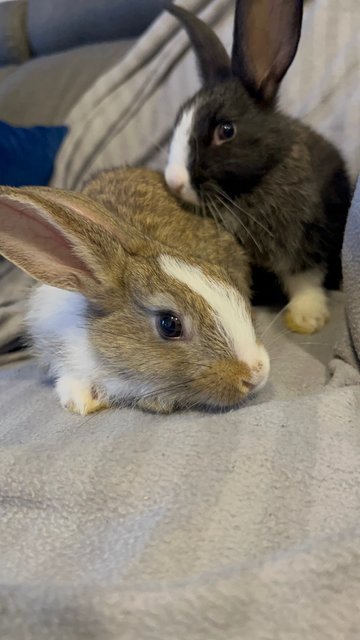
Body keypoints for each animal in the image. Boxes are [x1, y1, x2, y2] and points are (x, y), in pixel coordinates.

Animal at [165, 1, 350, 336]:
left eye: (225, 131)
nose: (174, 182)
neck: (249, 190)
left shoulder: (306, 238)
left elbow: (305, 279)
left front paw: (308, 318)